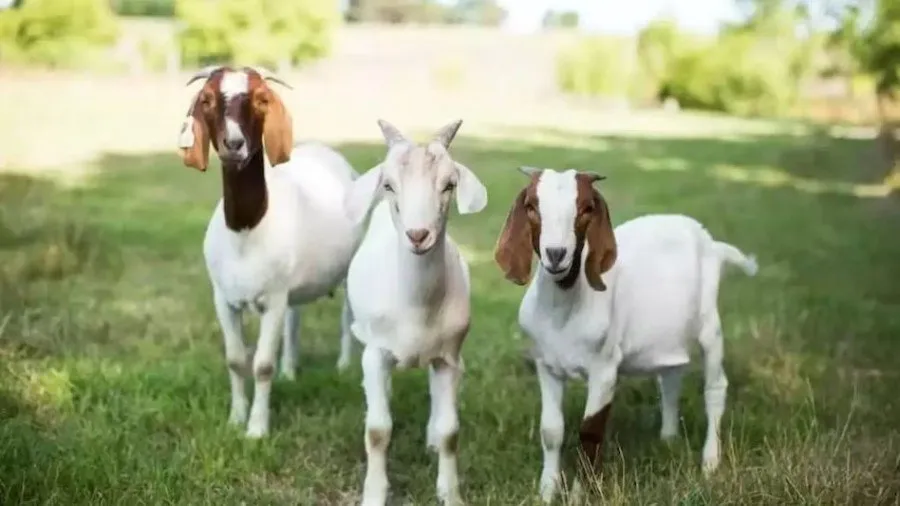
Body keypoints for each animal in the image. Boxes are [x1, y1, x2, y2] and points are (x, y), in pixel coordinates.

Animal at [177, 65, 363, 438]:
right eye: (207, 99)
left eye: (262, 99)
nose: (234, 144)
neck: (247, 231)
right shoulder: (224, 298)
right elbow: (236, 360)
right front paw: (236, 419)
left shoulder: (272, 301)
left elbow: (262, 364)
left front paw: (257, 430)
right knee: (295, 318)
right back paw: (290, 371)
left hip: (349, 266)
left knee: (346, 315)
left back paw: (343, 366)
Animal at [343, 119, 488, 506]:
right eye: (389, 185)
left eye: (449, 184)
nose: (418, 235)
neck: (417, 307)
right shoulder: (375, 351)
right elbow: (378, 430)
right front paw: (374, 495)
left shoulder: (449, 357)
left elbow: (451, 431)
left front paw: (450, 494)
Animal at [493, 166, 758, 503]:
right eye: (531, 206)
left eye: (586, 208)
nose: (556, 254)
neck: (565, 308)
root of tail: (712, 243)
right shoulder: (546, 364)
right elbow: (551, 431)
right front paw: (546, 492)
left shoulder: (605, 369)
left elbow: (590, 432)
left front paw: (579, 494)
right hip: (667, 335)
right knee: (670, 377)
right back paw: (668, 438)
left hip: (709, 324)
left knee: (715, 387)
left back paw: (710, 461)